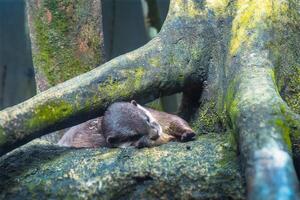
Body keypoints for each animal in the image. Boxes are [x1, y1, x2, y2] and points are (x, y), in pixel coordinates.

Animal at [57, 100, 196, 148]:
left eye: (146, 119)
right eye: (135, 135)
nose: (155, 133)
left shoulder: (159, 116)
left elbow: (175, 119)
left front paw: (187, 133)